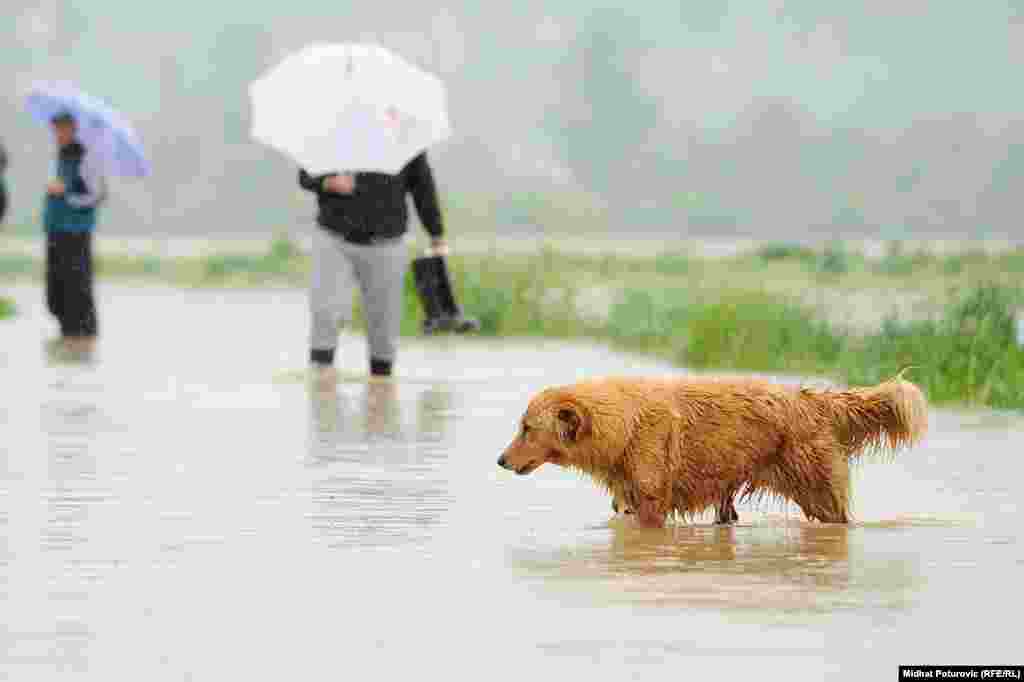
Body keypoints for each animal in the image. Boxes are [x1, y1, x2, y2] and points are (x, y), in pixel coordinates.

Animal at [495, 372, 929, 524]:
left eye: (526, 428)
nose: (500, 460)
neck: (624, 427)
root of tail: (814, 400)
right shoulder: (628, 495)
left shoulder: (652, 493)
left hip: (814, 483)